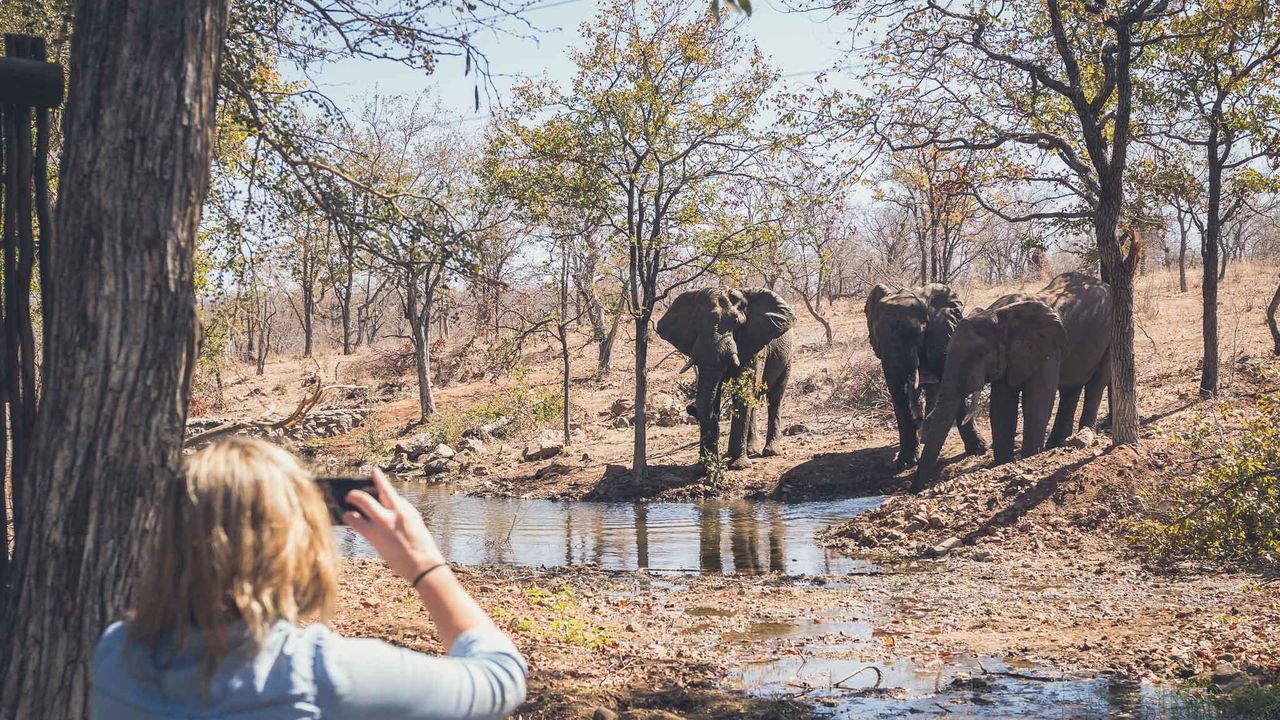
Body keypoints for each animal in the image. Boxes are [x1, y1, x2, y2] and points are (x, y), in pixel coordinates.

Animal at [660, 285, 788, 471]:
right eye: (695, 324)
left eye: (736, 323)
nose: (691, 408)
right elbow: (714, 388)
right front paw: (704, 467)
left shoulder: (755, 343)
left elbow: (743, 391)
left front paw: (737, 466)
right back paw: (750, 450)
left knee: (775, 397)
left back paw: (770, 452)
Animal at [911, 271, 1111, 489]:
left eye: (979, 355)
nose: (914, 489)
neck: (998, 315)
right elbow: (1002, 406)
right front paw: (1003, 463)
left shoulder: (1047, 345)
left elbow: (1038, 400)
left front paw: (1029, 457)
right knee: (1070, 388)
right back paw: (1056, 444)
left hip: (1110, 335)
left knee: (1096, 382)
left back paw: (1083, 435)